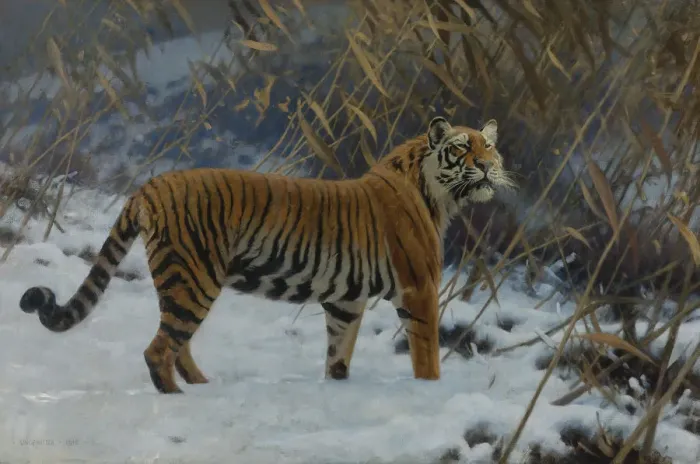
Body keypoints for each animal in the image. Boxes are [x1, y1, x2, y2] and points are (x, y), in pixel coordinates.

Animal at [19, 116, 515, 394]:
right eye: (463, 147)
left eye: (490, 145)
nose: (488, 165)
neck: (438, 193)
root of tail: (151, 184)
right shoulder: (419, 288)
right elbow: (426, 355)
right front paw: (430, 391)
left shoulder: (345, 301)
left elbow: (339, 352)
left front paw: (337, 386)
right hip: (194, 277)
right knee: (159, 349)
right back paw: (178, 397)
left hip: (182, 280)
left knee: (176, 343)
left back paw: (201, 386)